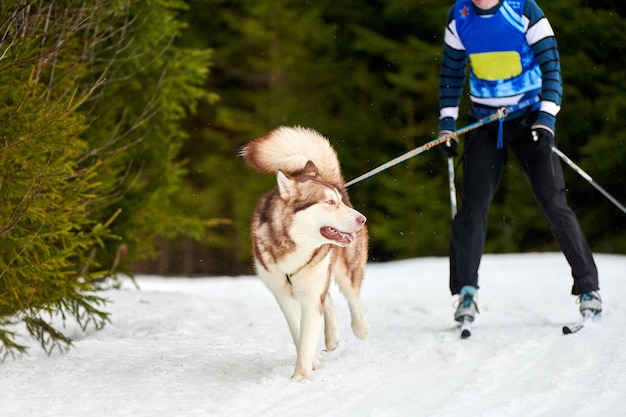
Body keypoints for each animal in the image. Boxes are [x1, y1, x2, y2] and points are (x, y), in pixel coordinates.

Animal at [241, 125, 368, 378]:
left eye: (338, 201)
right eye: (329, 202)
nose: (362, 219)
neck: (296, 247)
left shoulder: (311, 292)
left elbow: (308, 333)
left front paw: (301, 377)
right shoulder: (282, 293)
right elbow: (299, 332)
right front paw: (310, 362)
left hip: (346, 268)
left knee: (353, 298)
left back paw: (360, 329)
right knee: (328, 300)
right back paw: (332, 337)